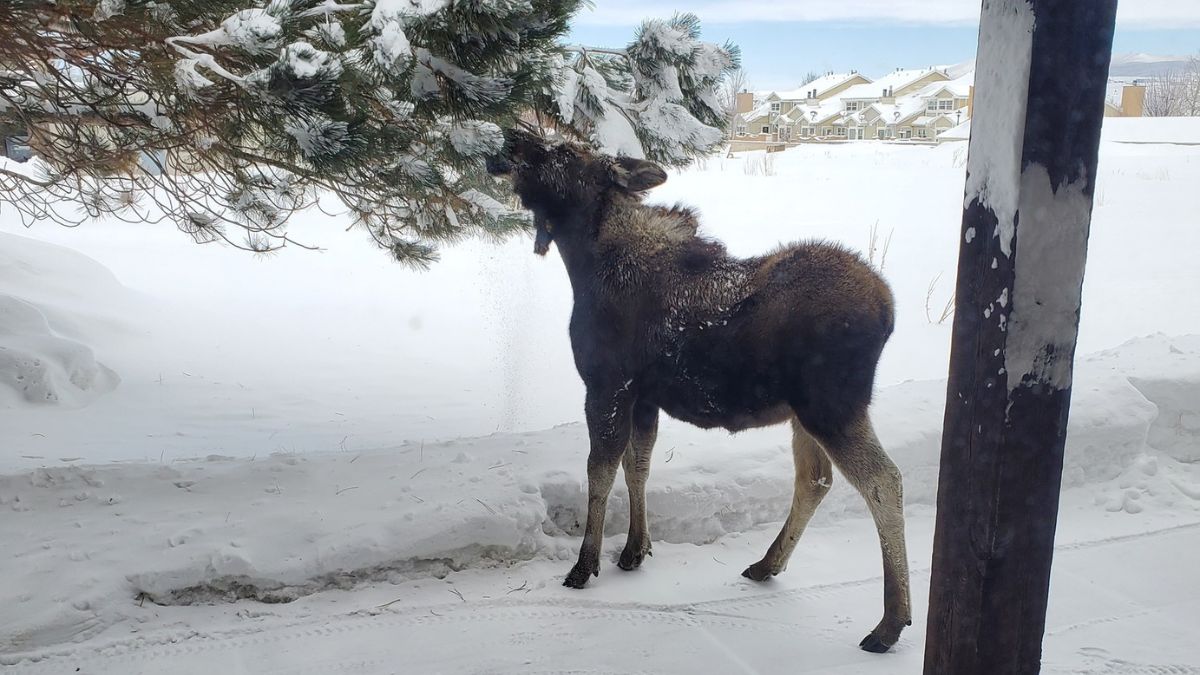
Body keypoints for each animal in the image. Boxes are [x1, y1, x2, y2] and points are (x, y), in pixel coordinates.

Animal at [484, 128, 907, 648]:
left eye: (564, 151)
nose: (511, 138)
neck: (583, 262)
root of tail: (888, 309)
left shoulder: (606, 384)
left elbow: (599, 471)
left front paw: (585, 566)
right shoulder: (643, 397)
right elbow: (638, 466)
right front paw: (634, 549)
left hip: (832, 406)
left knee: (883, 481)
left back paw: (890, 623)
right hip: (804, 413)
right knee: (816, 479)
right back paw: (768, 563)